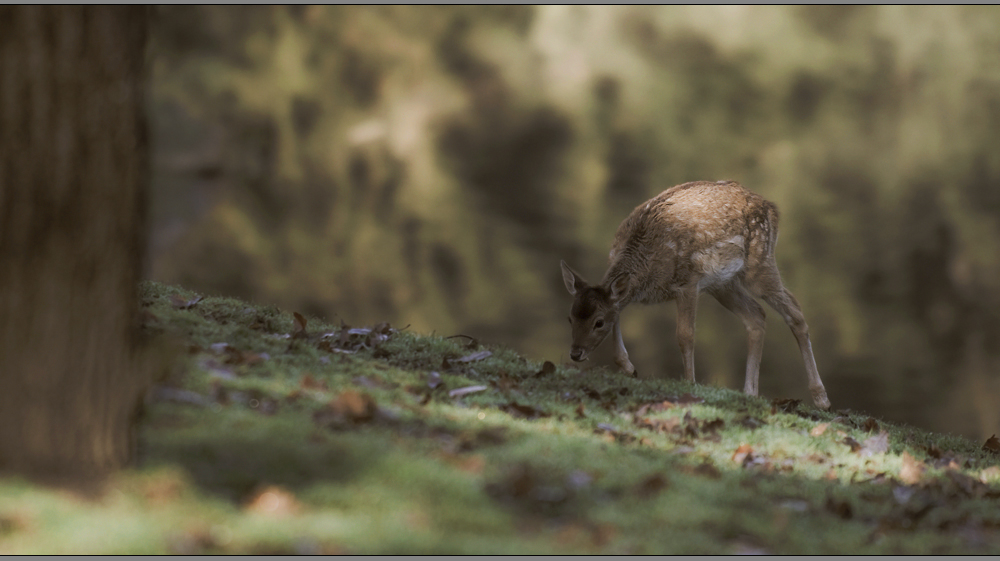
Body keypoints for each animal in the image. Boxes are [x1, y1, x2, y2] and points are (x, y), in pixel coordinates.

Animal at [560, 182, 832, 410]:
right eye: (570, 318)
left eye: (598, 322)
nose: (575, 353)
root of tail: (772, 208)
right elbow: (618, 310)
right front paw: (629, 367)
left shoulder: (688, 282)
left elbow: (685, 335)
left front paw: (690, 384)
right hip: (723, 283)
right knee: (756, 316)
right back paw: (750, 393)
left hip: (759, 262)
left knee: (795, 310)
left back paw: (821, 398)